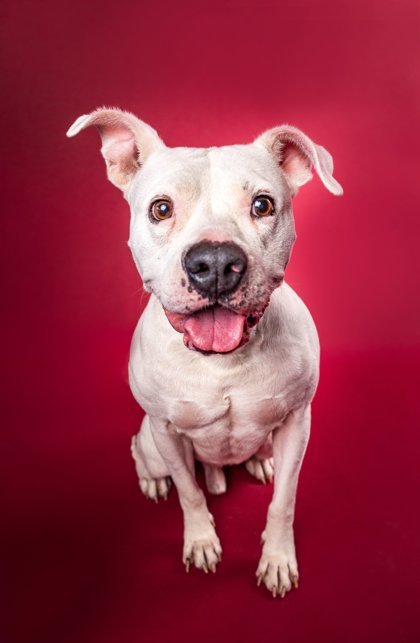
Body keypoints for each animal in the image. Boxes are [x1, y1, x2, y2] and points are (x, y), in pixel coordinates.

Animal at [65, 109, 342, 600]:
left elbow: (284, 500)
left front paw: (277, 558)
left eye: (262, 205)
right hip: (149, 441)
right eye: (161, 209)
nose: (214, 263)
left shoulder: (297, 423)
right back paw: (152, 481)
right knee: (145, 455)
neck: (223, 362)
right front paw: (200, 541)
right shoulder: (165, 428)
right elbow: (189, 493)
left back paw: (257, 461)